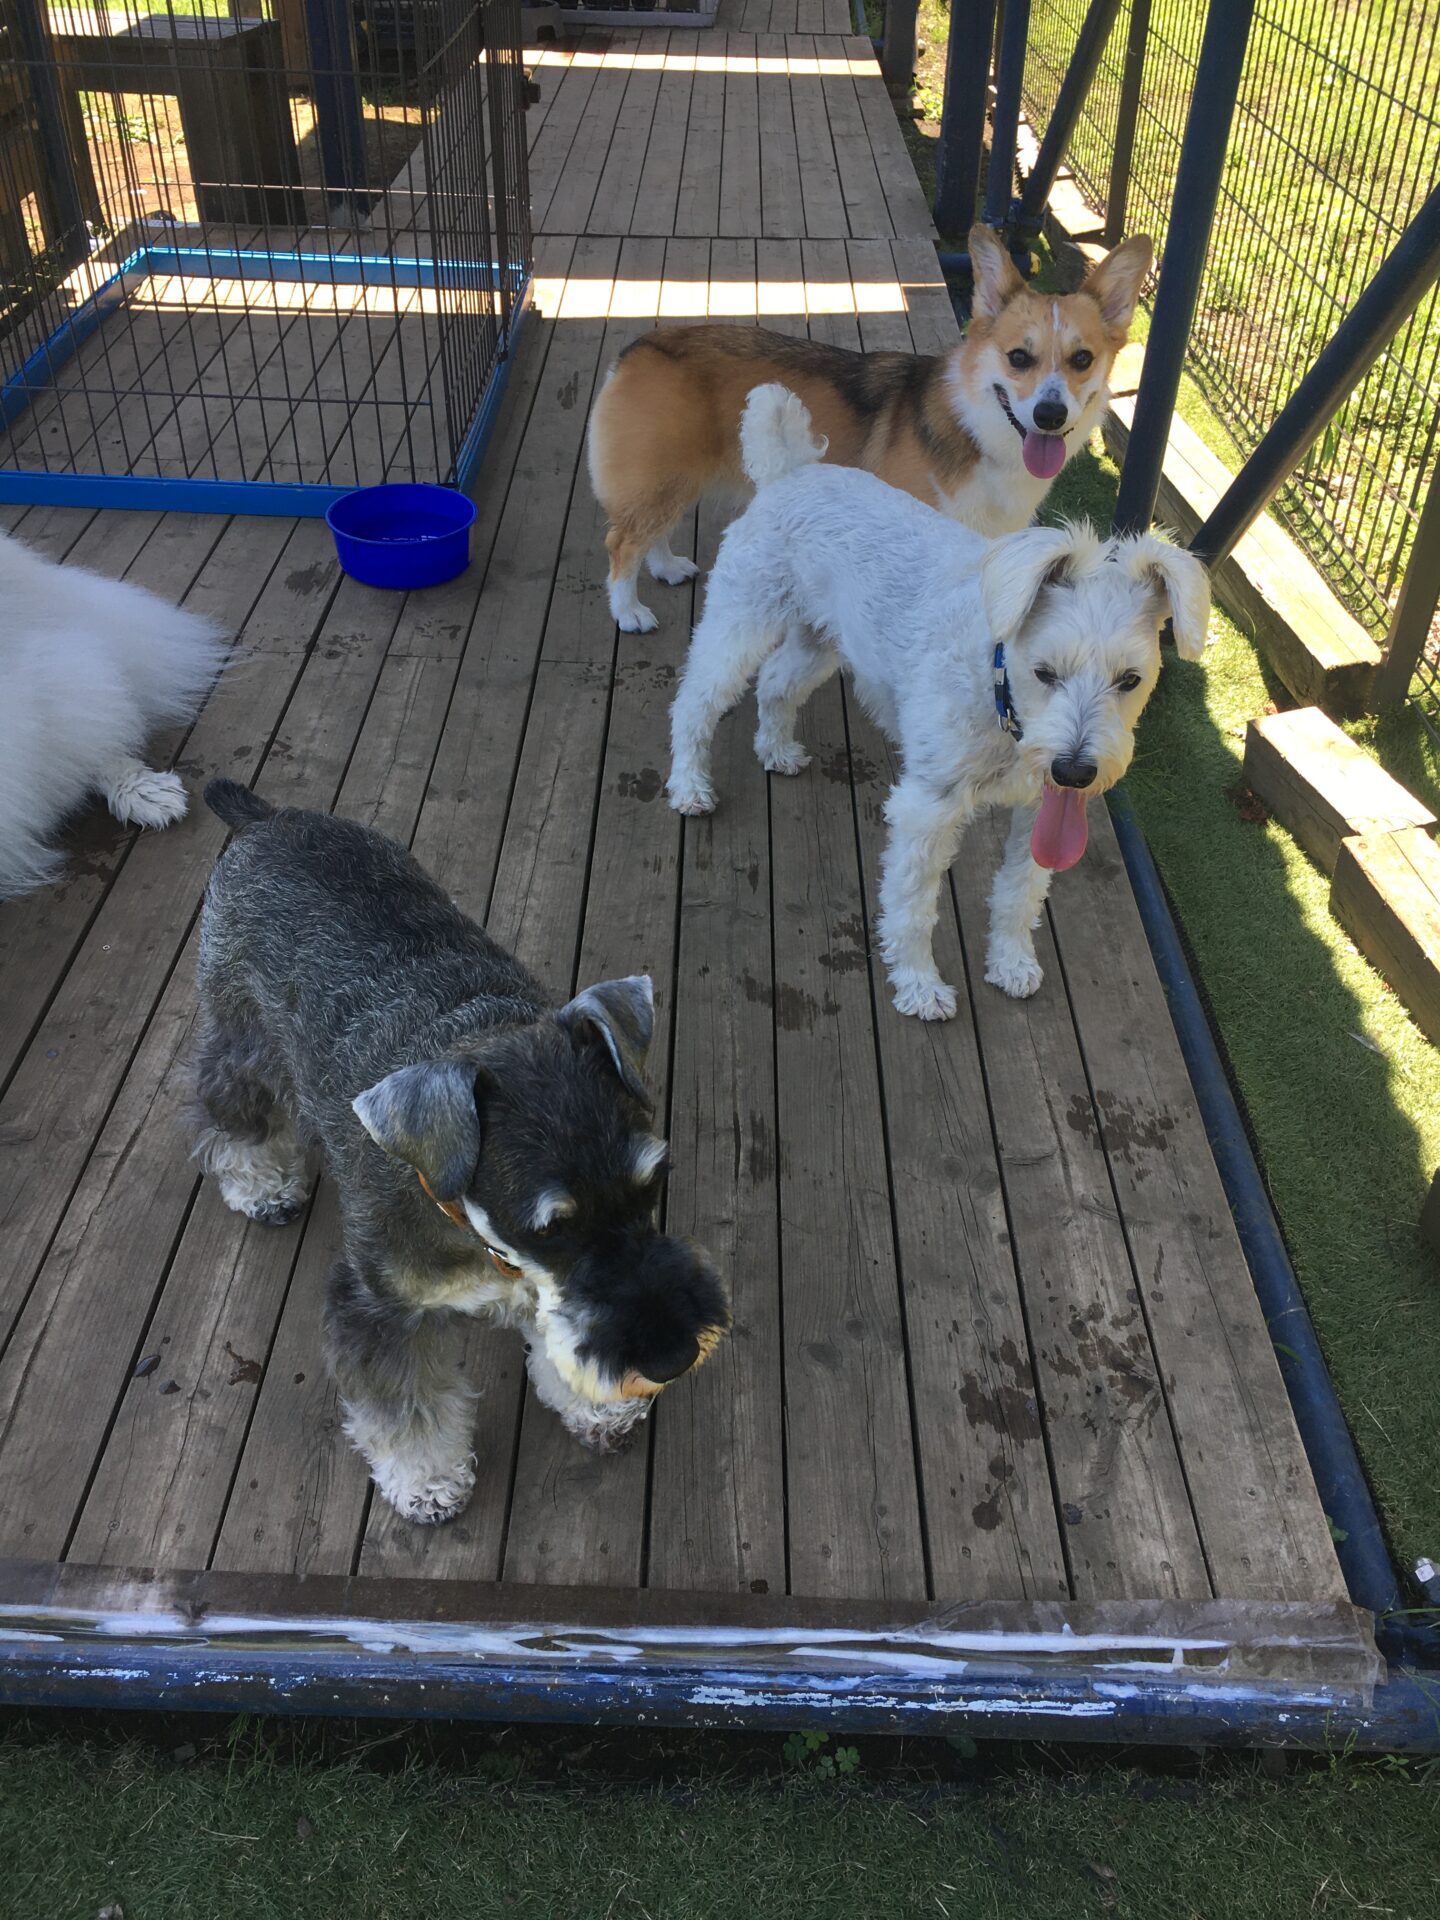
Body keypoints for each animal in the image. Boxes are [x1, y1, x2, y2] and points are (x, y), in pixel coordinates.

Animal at [192, 781, 729, 1524]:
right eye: (550, 1229)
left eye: (653, 1183)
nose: (675, 1358)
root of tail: (267, 818)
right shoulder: (380, 1310)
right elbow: (406, 1411)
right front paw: (427, 1482)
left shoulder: (543, 1290)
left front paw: (596, 1409)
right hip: (241, 1031)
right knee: (233, 1107)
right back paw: (260, 1184)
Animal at [588, 224, 1152, 633]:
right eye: (1019, 357)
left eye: (1082, 359)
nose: (1050, 415)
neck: (978, 431)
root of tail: (637, 350)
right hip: (661, 478)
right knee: (620, 543)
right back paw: (629, 612)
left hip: (676, 478)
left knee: (653, 533)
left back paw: (666, 567)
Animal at [666, 387, 1210, 1021]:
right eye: (1043, 672)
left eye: (1130, 680)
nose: (1075, 773)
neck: (999, 697)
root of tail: (793, 469)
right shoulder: (926, 811)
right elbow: (912, 909)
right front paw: (919, 986)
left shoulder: (1041, 810)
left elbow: (1020, 893)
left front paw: (1011, 963)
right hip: (741, 622)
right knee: (694, 702)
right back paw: (690, 787)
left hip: (821, 641)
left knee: (777, 684)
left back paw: (776, 749)